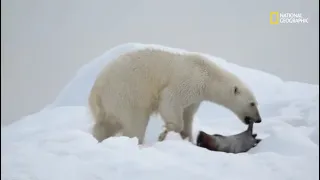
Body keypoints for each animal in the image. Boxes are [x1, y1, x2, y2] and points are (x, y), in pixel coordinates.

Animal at [89, 47, 262, 143]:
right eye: (252, 103)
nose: (258, 119)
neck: (208, 75)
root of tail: (96, 89)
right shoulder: (189, 82)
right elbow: (170, 101)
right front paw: (165, 132)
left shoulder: (195, 97)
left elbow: (188, 114)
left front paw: (187, 138)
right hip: (126, 94)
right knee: (135, 123)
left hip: (110, 104)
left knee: (105, 125)